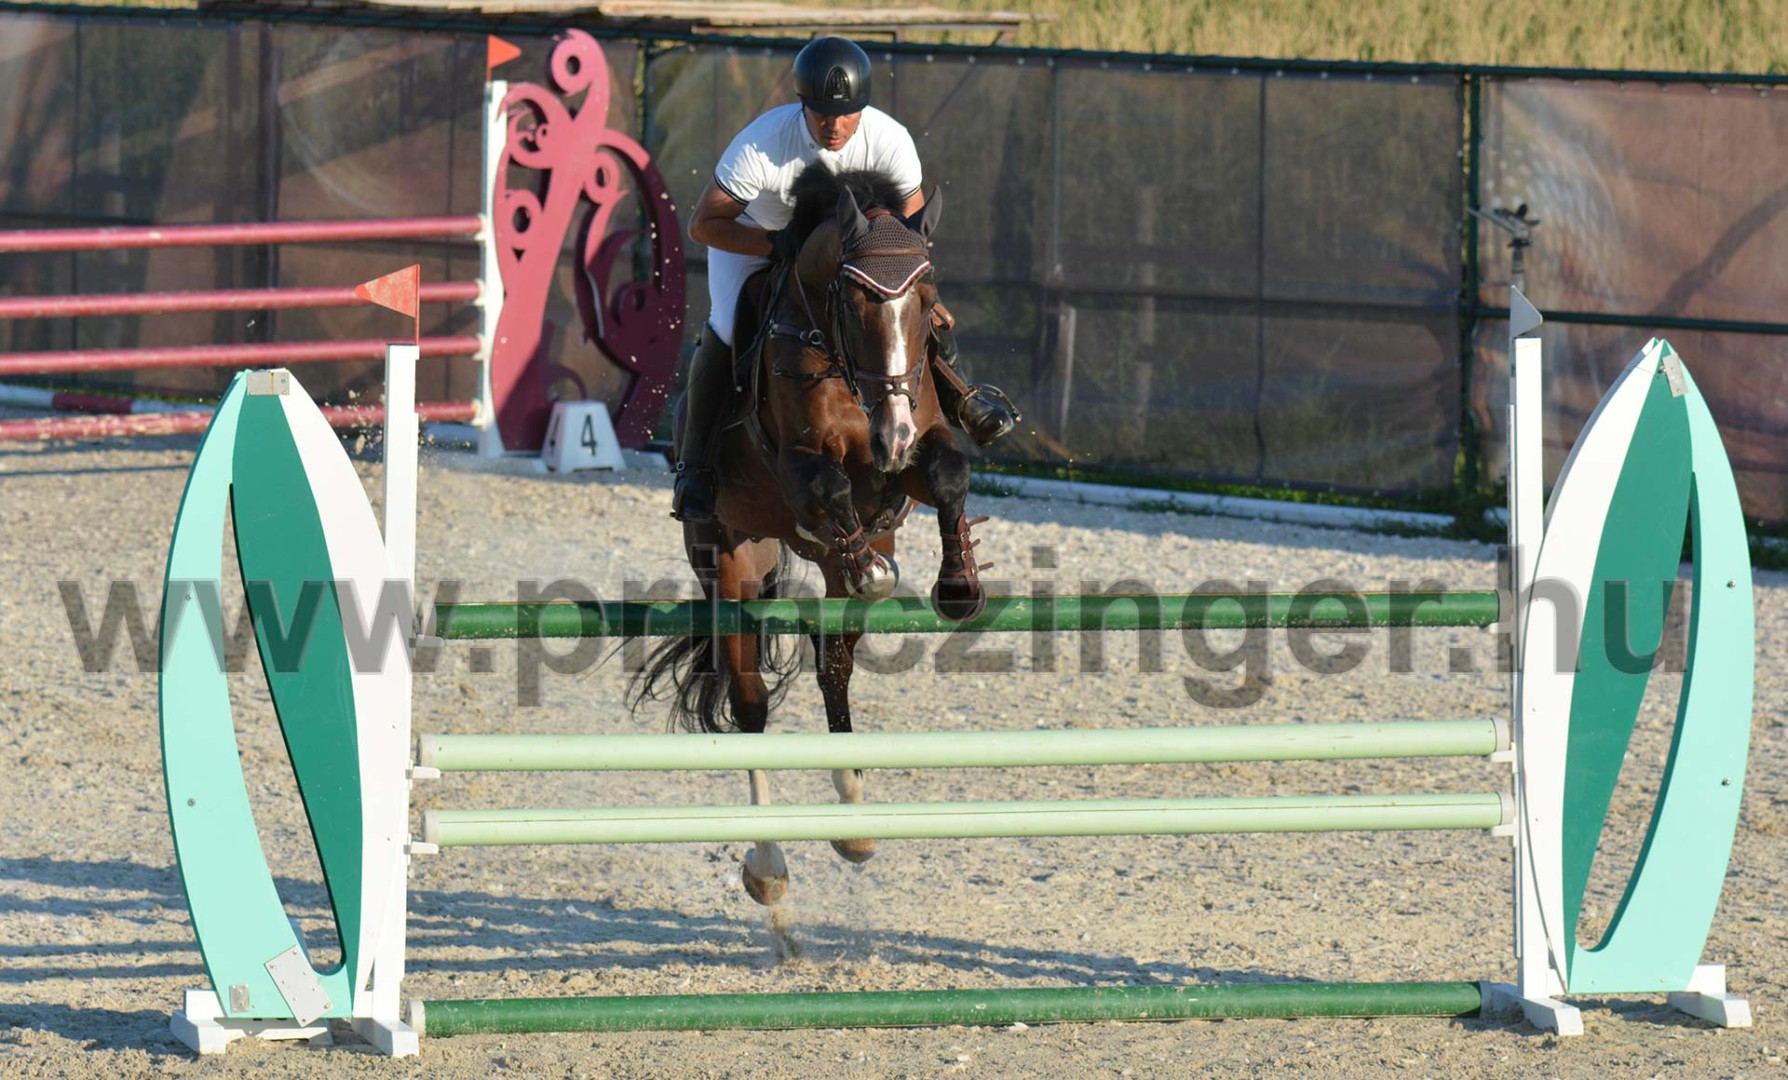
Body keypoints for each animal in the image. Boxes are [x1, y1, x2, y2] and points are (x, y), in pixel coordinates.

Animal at [631, 165, 989, 905]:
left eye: (928, 300)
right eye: (854, 300)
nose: (893, 433)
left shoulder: (913, 453)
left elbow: (948, 471)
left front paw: (958, 586)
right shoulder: (798, 466)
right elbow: (824, 486)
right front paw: (877, 565)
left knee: (834, 663)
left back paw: (852, 821)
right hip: (729, 564)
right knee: (751, 706)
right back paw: (769, 865)